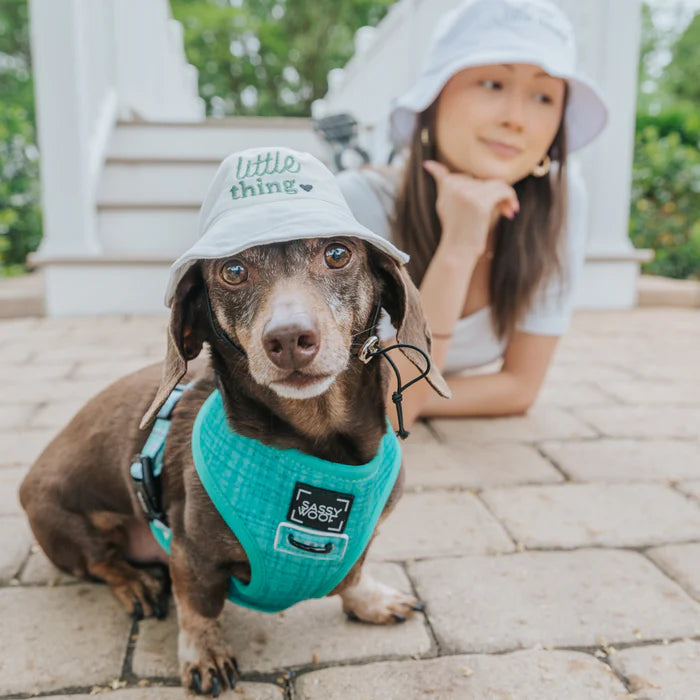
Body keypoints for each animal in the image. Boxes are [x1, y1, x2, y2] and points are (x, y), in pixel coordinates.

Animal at [20, 237, 448, 696]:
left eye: (337, 254)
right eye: (233, 271)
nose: (289, 338)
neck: (319, 447)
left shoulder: (364, 538)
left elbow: (352, 574)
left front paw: (370, 601)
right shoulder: (192, 554)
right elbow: (199, 609)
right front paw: (205, 655)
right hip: (67, 520)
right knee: (100, 561)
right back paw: (135, 582)